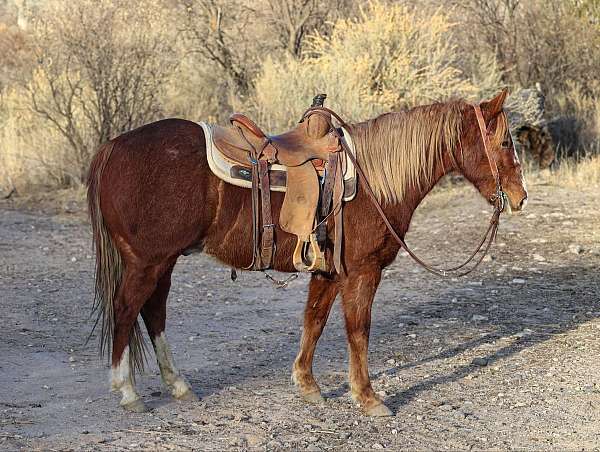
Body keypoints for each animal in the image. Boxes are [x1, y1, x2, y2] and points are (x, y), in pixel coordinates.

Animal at [86, 90, 528, 418]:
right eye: (506, 141)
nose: (520, 197)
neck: (373, 180)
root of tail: (111, 147)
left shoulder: (329, 272)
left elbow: (314, 321)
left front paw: (307, 385)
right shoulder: (362, 272)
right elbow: (358, 331)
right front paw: (368, 398)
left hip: (164, 262)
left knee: (154, 312)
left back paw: (178, 385)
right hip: (147, 262)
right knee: (126, 310)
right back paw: (128, 392)